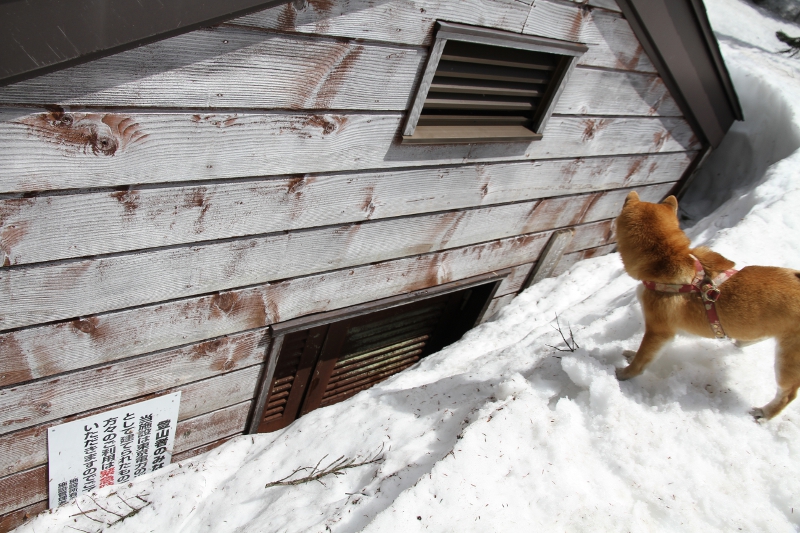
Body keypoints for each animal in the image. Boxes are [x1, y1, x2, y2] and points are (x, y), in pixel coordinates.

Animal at [612, 191, 800, 420]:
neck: (668, 261)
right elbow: (644, 354)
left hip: (788, 360)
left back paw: (764, 414)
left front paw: (625, 373)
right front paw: (631, 354)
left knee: (788, 394)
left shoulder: (659, 331)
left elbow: (642, 360)